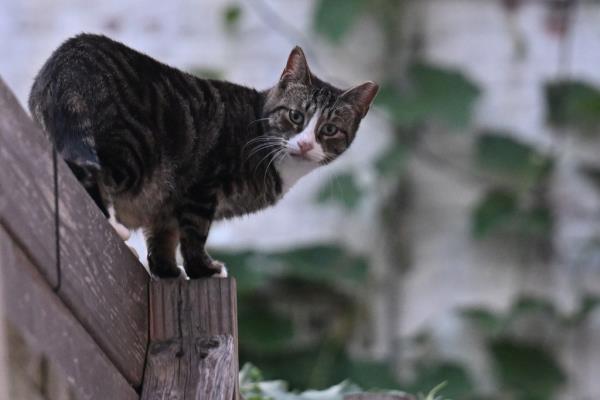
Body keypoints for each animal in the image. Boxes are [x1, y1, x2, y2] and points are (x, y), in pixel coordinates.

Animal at [30, 34, 378, 278]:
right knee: (87, 173)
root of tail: (68, 64)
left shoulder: (167, 198)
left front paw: (167, 271)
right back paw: (115, 225)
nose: (305, 144)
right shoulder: (201, 187)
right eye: (295, 116)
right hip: (132, 149)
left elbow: (163, 235)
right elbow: (194, 235)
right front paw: (204, 270)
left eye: (329, 129)